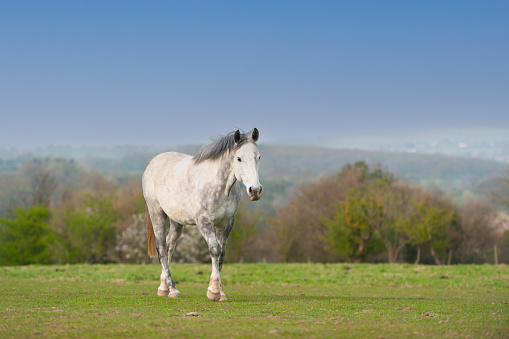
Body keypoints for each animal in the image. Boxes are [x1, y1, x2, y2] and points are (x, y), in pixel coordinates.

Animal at [142, 129, 262, 302]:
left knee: (169, 245)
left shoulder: (227, 223)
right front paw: (214, 291)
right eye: (239, 158)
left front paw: (221, 293)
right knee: (162, 248)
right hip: (156, 212)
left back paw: (164, 288)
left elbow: (222, 254)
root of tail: (152, 163)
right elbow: (215, 250)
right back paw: (173, 289)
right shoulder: (204, 222)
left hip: (176, 221)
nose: (255, 190)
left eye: (258, 157)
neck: (221, 188)